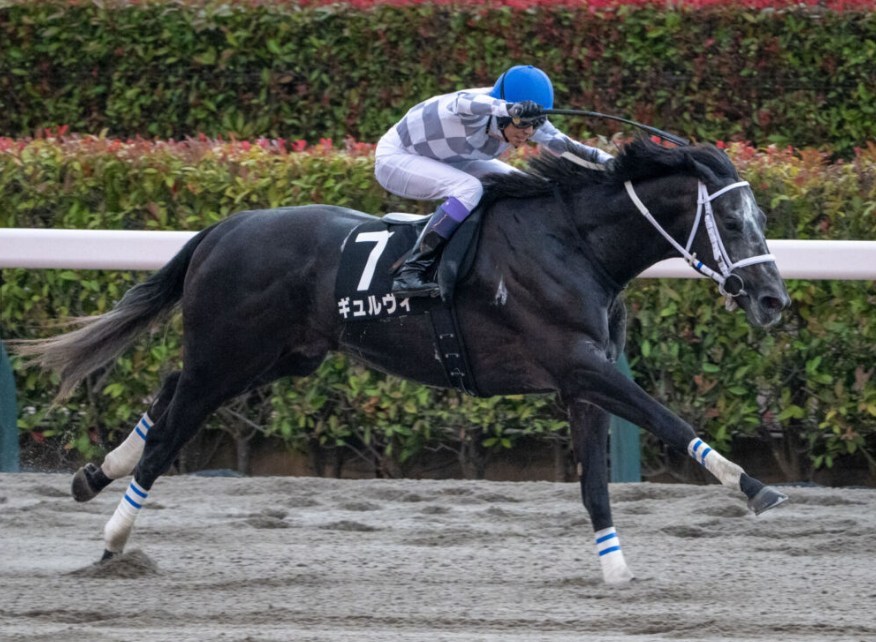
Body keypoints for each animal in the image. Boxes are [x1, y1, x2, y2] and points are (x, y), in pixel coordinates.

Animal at [12, 138, 791, 585]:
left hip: (280, 356)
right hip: (231, 353)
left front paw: (617, 572)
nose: (774, 299)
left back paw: (92, 476)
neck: (574, 241)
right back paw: (114, 539)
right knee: (174, 426)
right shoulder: (579, 365)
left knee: (170, 390)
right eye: (730, 221)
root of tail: (226, 226)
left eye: (759, 220)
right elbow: (666, 418)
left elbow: (596, 482)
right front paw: (756, 488)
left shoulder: (582, 381)